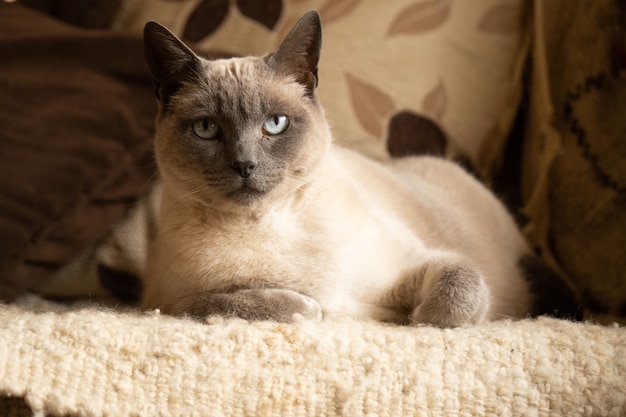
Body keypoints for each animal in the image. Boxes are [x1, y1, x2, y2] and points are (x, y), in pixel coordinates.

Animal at [140, 11, 536, 326]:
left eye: (275, 124)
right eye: (206, 129)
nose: (245, 164)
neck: (267, 223)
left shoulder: (421, 262)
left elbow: (456, 294)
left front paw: (415, 318)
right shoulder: (167, 302)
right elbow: (236, 302)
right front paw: (309, 308)